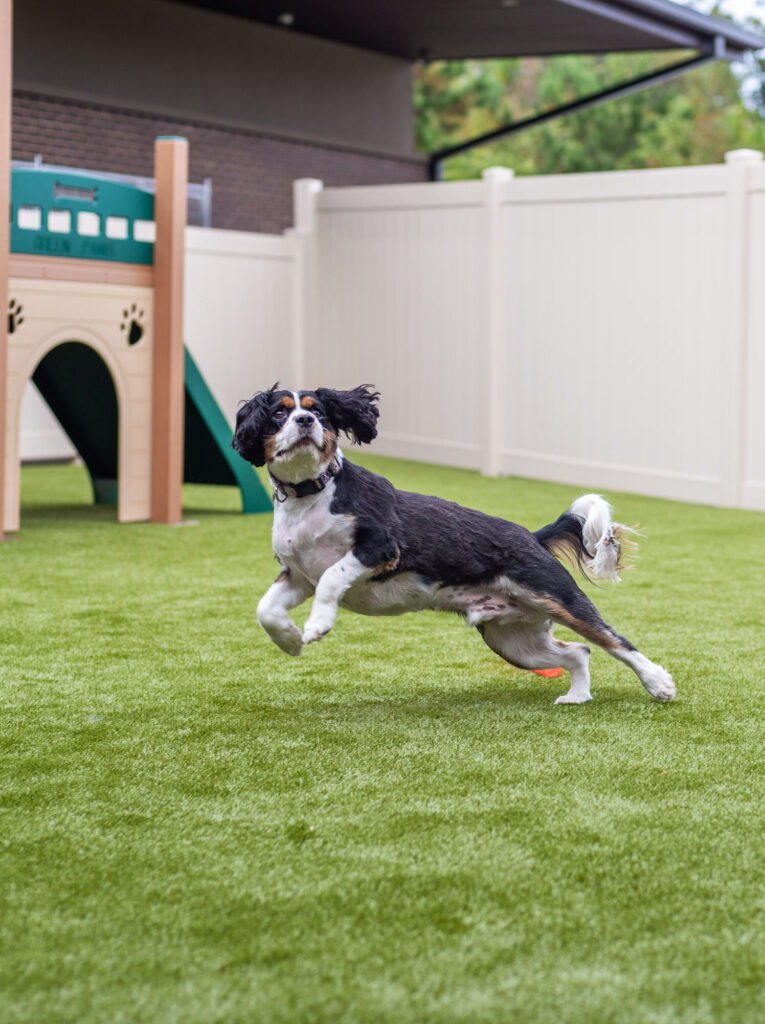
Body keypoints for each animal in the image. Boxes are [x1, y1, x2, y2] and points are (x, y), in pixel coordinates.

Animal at [233, 385, 675, 704]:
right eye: (279, 412)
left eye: (319, 411)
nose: (306, 420)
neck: (312, 494)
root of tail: (531, 536)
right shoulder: (297, 575)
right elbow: (265, 610)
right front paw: (291, 640)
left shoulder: (380, 547)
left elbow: (332, 578)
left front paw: (317, 624)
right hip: (513, 640)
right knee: (579, 652)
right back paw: (577, 697)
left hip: (557, 597)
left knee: (615, 642)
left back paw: (659, 683)